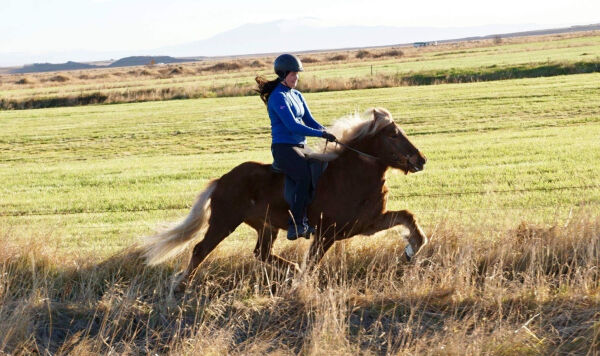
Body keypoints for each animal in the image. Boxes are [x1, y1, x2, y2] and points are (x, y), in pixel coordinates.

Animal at [144, 107, 428, 288]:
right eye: (393, 134)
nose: (421, 159)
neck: (353, 173)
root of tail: (221, 181)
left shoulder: (367, 223)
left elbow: (407, 217)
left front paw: (412, 248)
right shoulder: (327, 232)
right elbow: (313, 262)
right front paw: (301, 286)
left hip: (266, 226)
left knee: (261, 253)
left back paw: (291, 269)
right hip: (224, 222)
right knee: (201, 249)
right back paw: (181, 286)